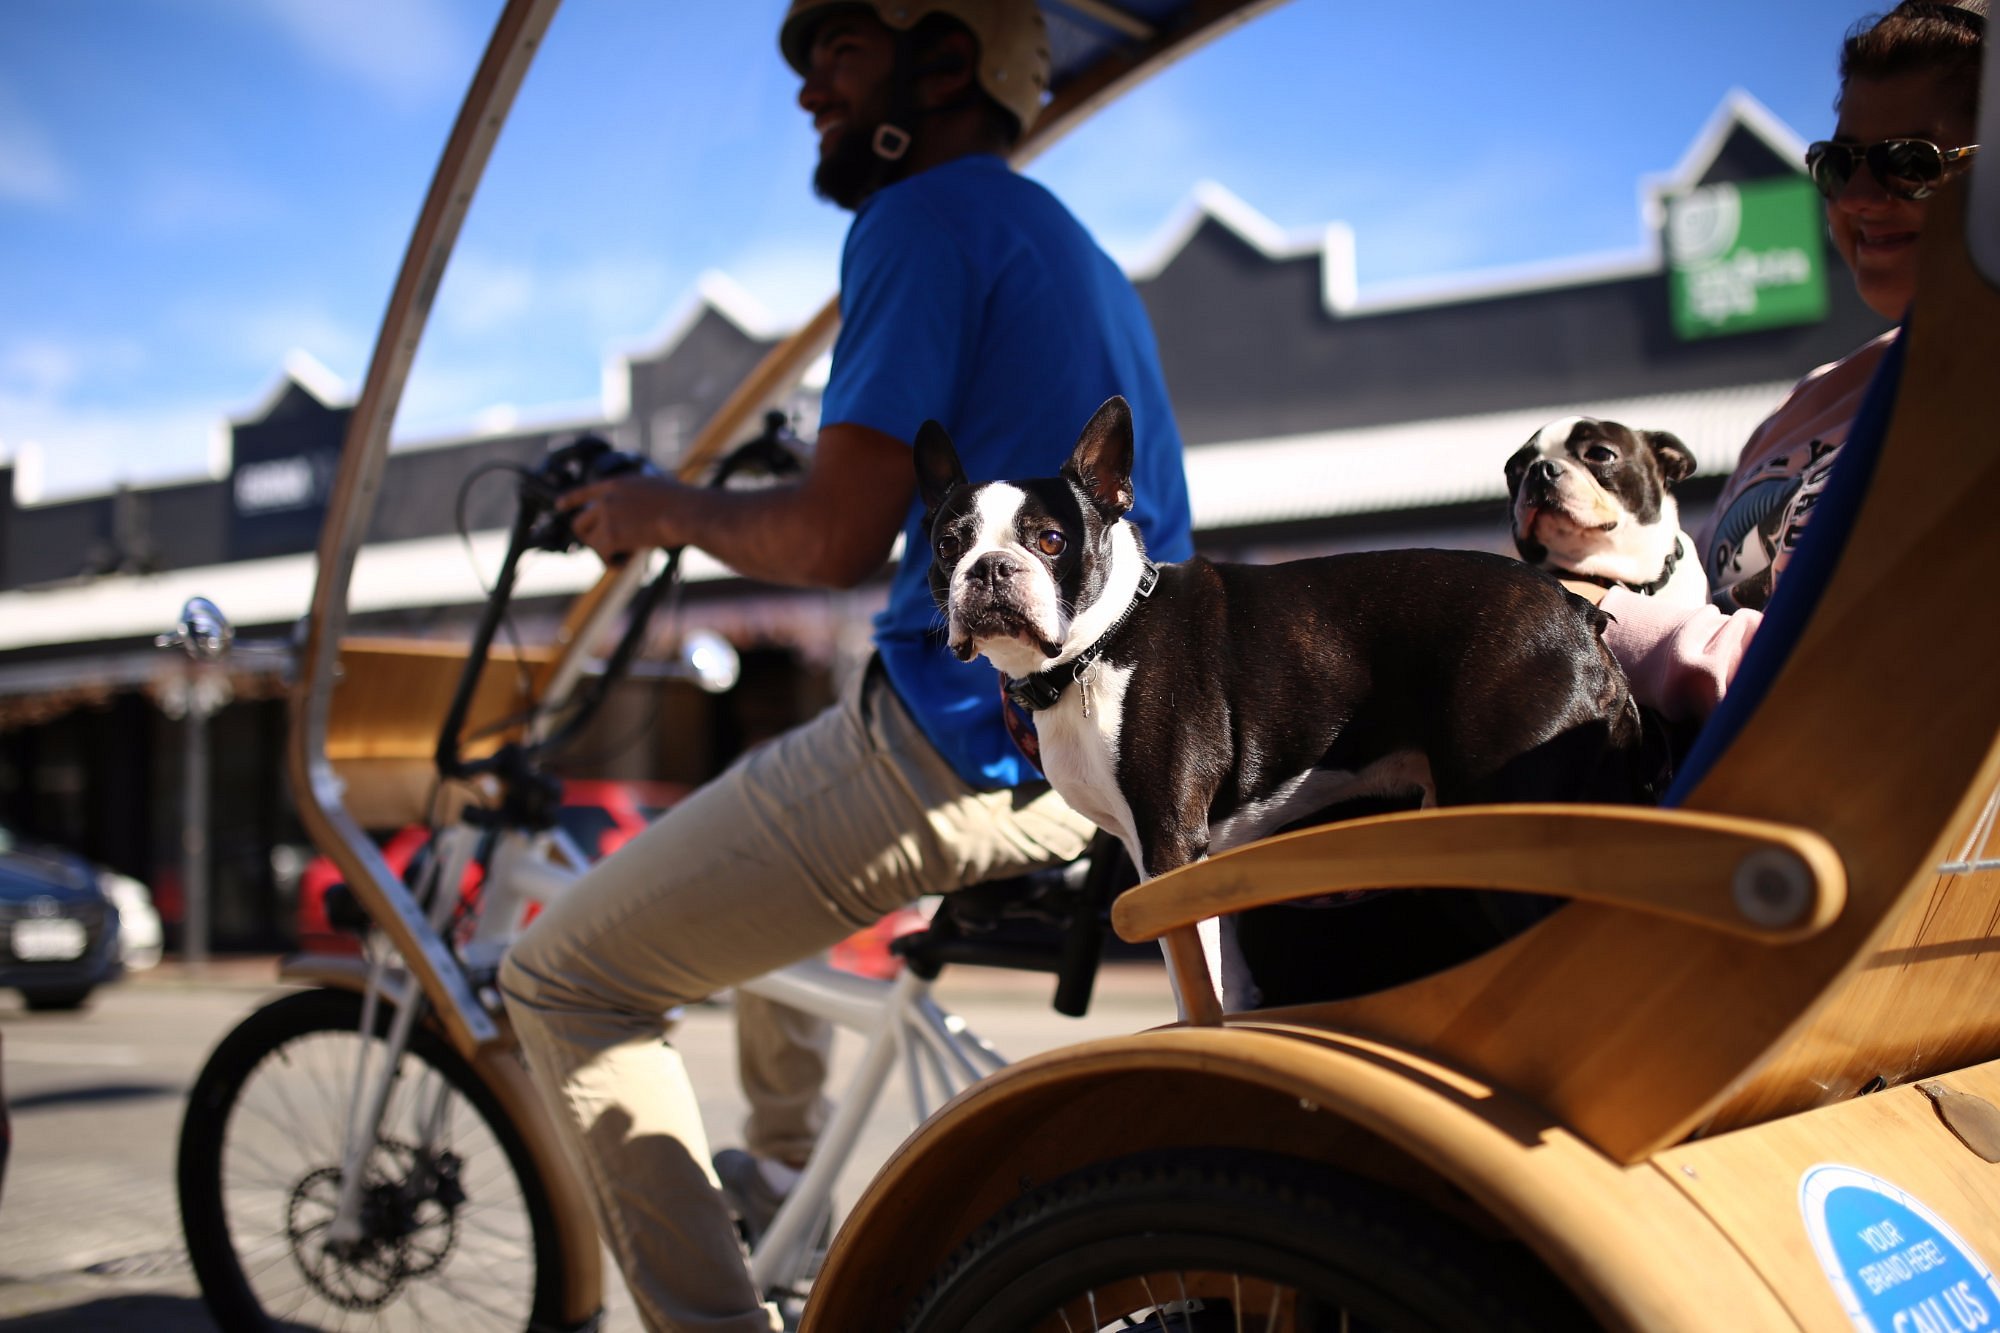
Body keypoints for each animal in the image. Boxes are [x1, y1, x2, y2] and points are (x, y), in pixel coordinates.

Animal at [916, 394, 1656, 1008]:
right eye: (947, 545)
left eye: (1050, 541)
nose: (989, 568)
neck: (1100, 643)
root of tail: (1580, 614)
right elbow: (1225, 977)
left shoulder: (1171, 847)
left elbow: (1195, 980)